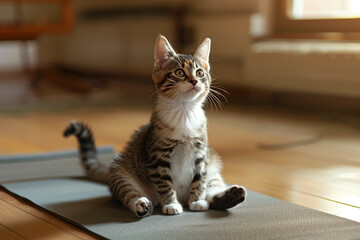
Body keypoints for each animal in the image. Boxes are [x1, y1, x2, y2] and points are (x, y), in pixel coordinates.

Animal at [63, 35, 246, 218]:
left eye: (200, 72)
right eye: (180, 72)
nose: (194, 81)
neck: (184, 112)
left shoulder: (201, 155)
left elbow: (199, 180)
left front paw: (197, 200)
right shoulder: (158, 159)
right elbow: (165, 185)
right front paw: (171, 204)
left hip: (213, 166)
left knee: (212, 190)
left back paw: (231, 196)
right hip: (121, 173)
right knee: (128, 194)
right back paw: (142, 205)